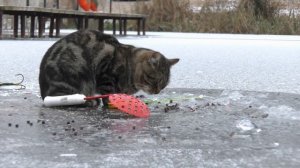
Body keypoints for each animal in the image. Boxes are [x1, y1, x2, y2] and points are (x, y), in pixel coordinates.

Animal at [37, 29, 178, 106]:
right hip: (73, 76)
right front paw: (112, 103)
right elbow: (108, 94)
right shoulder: (105, 73)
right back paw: (89, 102)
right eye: (153, 79)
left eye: (163, 85)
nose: (157, 91)